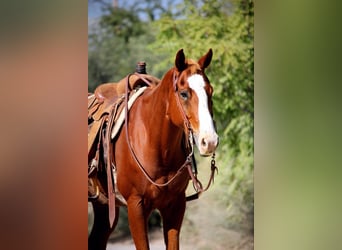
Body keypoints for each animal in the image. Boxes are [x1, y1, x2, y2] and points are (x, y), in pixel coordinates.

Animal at [87, 49, 216, 250]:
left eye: (210, 92)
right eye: (184, 94)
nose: (209, 141)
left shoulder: (175, 205)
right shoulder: (136, 205)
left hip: (103, 204)